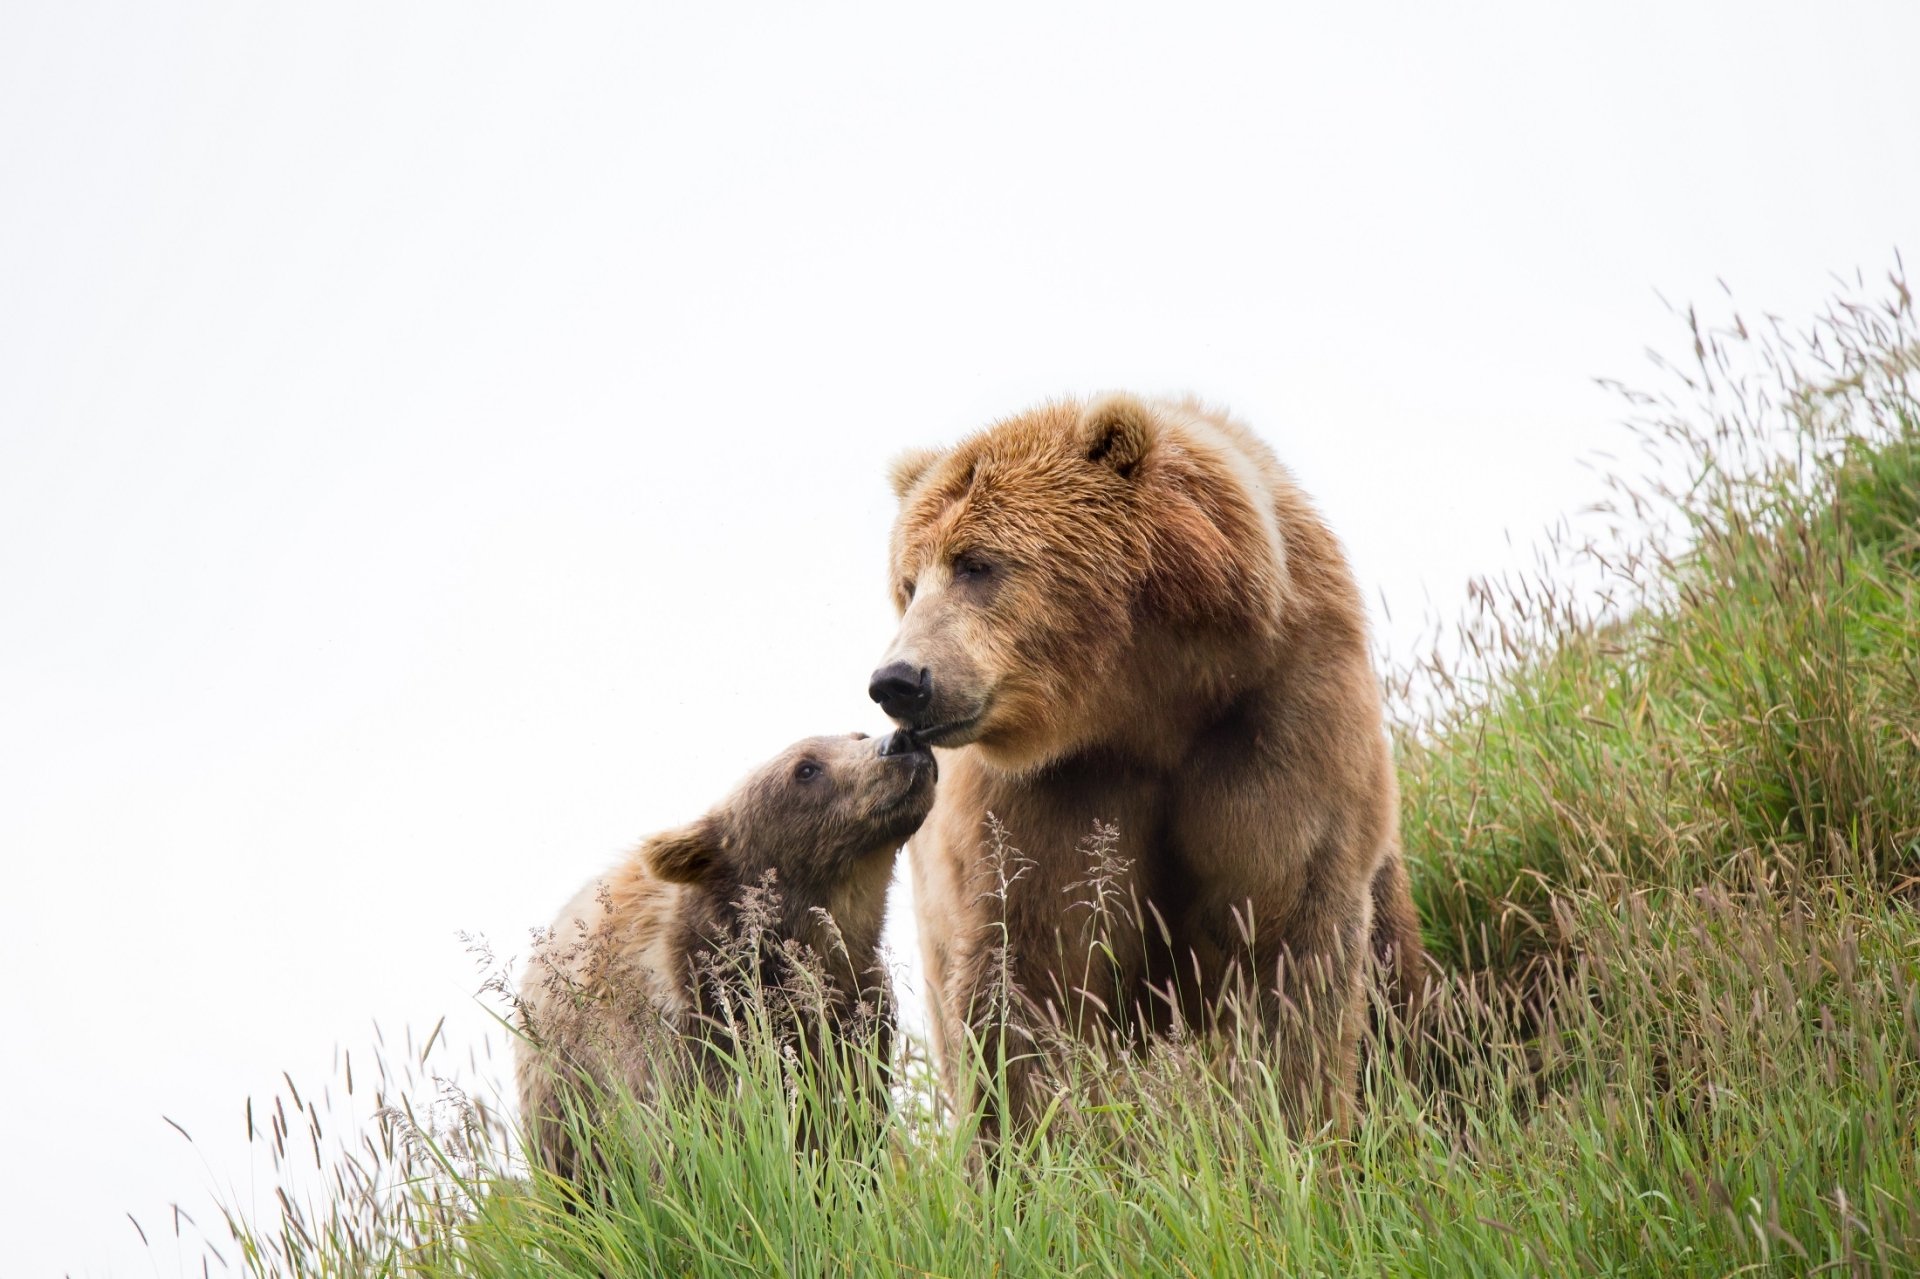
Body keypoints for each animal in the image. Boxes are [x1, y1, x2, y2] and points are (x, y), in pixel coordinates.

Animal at [868, 393, 1424, 1137]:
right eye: (908, 582)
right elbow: (1022, 982)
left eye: (976, 563)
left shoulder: (1278, 720)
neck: (1143, 701)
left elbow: (1291, 944)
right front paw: (1029, 1142)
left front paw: (1297, 1124)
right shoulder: (1045, 796)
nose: (899, 680)